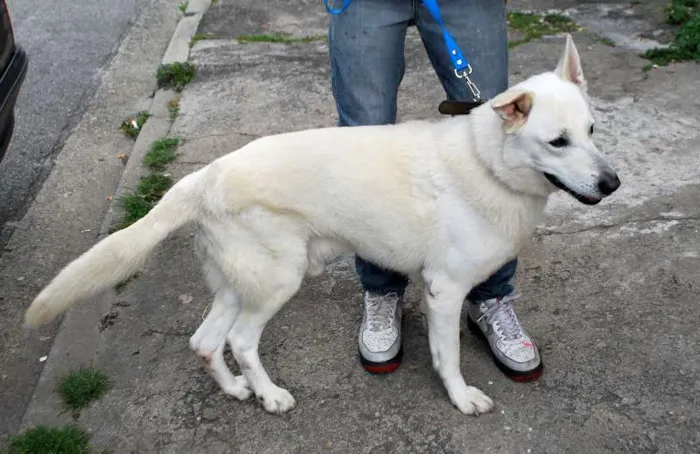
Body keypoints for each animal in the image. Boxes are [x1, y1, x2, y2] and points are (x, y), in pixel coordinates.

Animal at [24, 35, 620, 416]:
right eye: (557, 141)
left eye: (592, 130)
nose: (613, 183)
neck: (487, 163)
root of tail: (205, 176)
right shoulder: (444, 292)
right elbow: (447, 356)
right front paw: (460, 398)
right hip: (277, 281)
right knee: (239, 341)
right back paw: (270, 397)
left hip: (240, 283)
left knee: (203, 341)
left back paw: (237, 392)